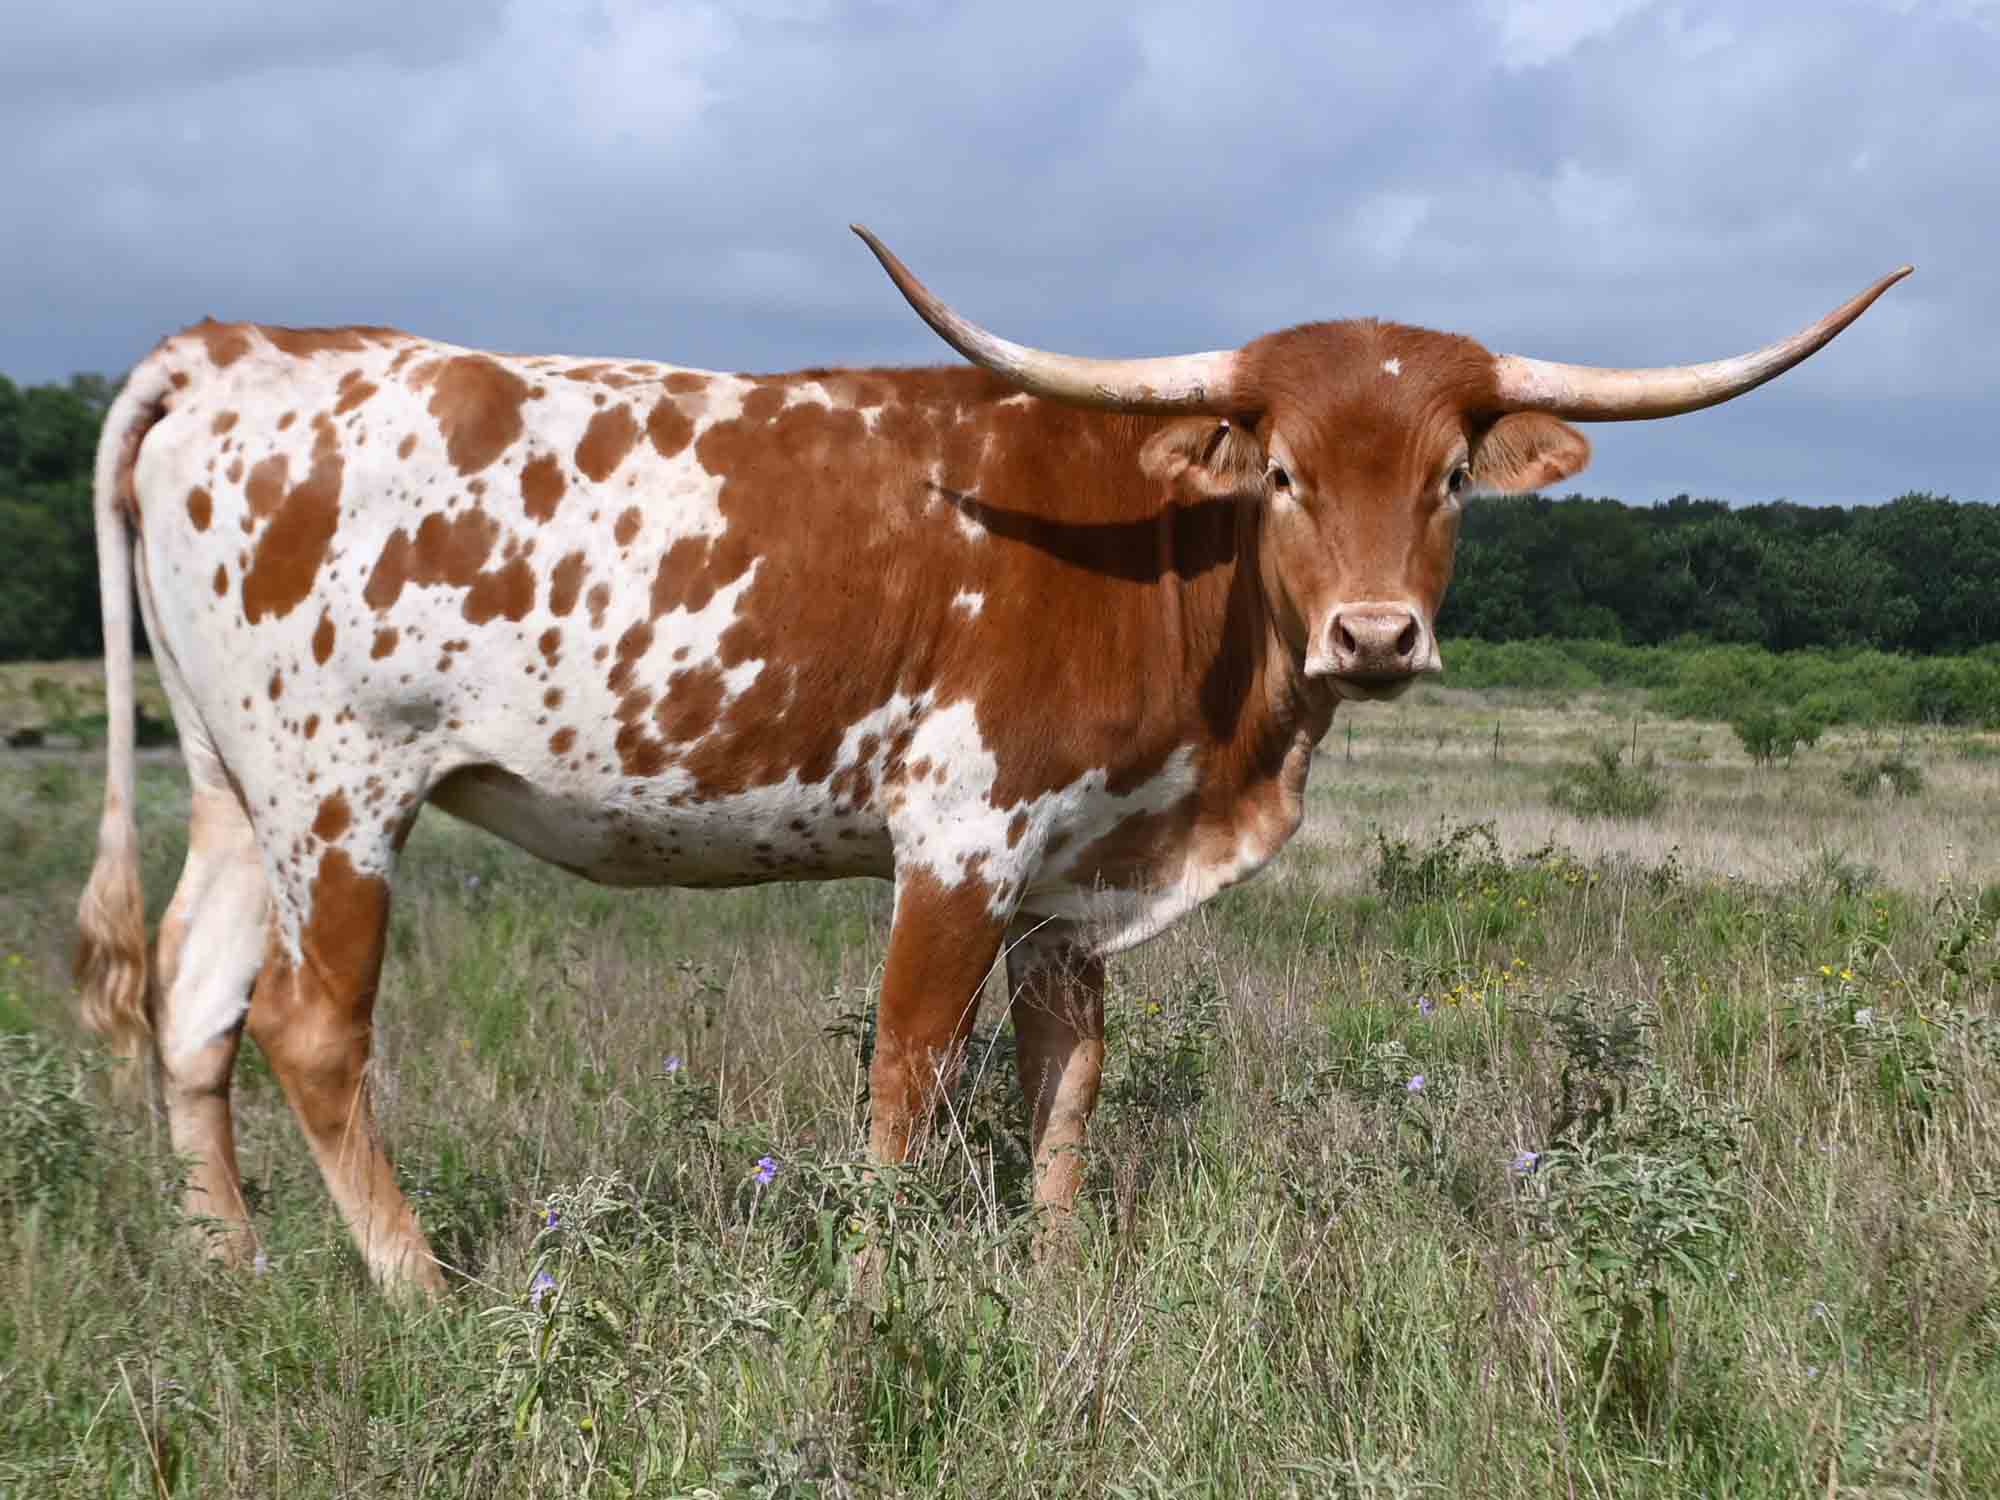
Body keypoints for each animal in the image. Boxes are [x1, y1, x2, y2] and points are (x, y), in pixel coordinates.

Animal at [75, 227, 1908, 1291]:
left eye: (1451, 475)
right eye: (1287, 472)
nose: (1376, 637)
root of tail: (241, 345)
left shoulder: (1079, 878)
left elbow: (1063, 1077)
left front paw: (1049, 1269)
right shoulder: (958, 838)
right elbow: (906, 1074)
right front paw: (877, 1287)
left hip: (236, 792)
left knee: (196, 1008)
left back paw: (231, 1271)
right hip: (339, 792)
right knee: (311, 1027)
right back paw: (420, 1292)